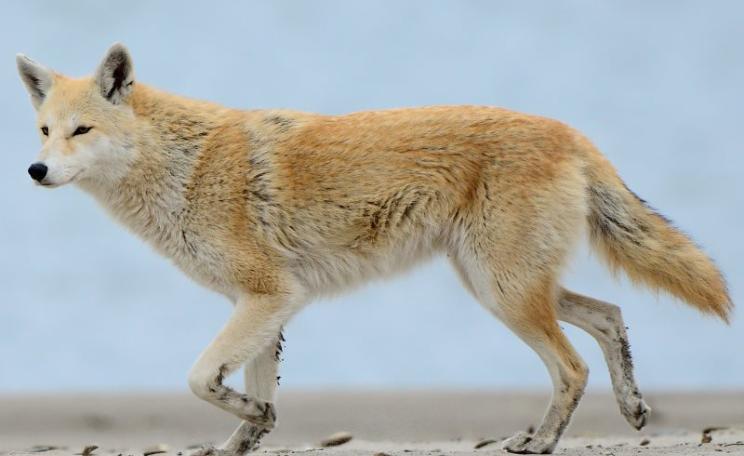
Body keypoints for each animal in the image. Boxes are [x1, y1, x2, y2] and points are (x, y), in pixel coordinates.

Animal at [16, 43, 732, 455]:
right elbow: (251, 397)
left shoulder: (269, 297)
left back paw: (541, 442)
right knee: (609, 317)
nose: (35, 171)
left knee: (573, 366)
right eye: (46, 130)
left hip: (504, 295)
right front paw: (244, 435)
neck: (184, 166)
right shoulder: (269, 306)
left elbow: (199, 379)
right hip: (506, 287)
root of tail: (570, 133)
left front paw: (248, 418)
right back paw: (628, 410)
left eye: (82, 131)